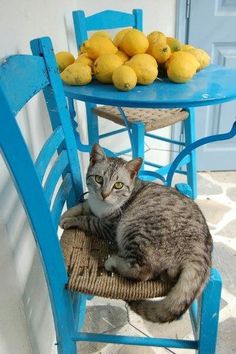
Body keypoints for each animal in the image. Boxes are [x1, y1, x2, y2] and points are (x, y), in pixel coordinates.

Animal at [60, 144, 212, 324]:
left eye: (118, 185)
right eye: (98, 179)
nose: (104, 194)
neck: (101, 206)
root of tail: (201, 250)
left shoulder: (108, 226)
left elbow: (88, 220)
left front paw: (70, 220)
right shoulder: (92, 205)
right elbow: (84, 206)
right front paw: (67, 213)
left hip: (133, 228)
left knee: (143, 271)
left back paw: (113, 262)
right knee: (167, 273)